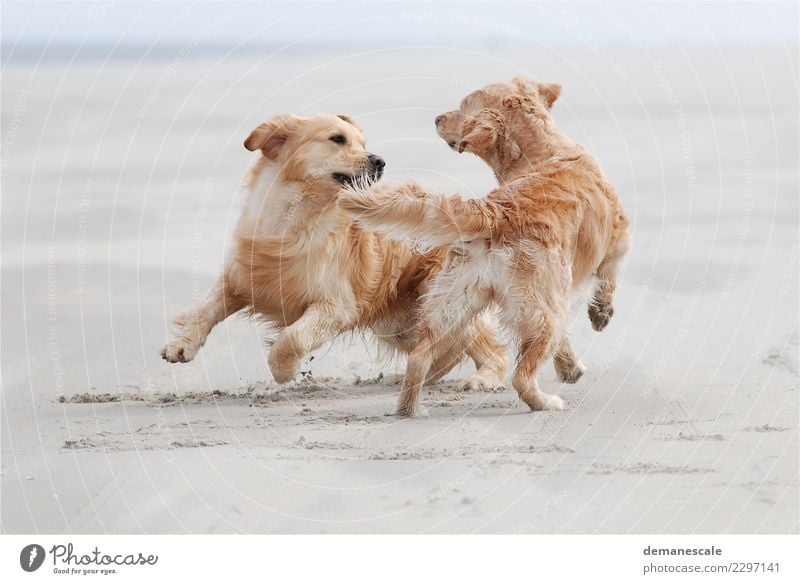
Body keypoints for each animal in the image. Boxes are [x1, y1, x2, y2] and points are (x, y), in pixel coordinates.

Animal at [159, 112, 504, 390]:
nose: (379, 161)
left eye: (363, 143)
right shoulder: (242, 277)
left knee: (490, 351)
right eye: (337, 139)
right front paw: (181, 345)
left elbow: (292, 337)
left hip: (439, 299)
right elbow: (205, 308)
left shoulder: (335, 304)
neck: (293, 218)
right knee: (440, 352)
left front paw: (283, 370)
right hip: (399, 321)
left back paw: (483, 380)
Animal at [340, 78, 636, 416]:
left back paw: (410, 410)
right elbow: (609, 279)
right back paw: (545, 402)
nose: (437, 118)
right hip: (544, 310)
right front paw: (600, 315)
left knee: (419, 357)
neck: (543, 152)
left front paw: (569, 367)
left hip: (449, 307)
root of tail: (496, 212)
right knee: (522, 376)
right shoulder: (620, 239)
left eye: (463, 107)